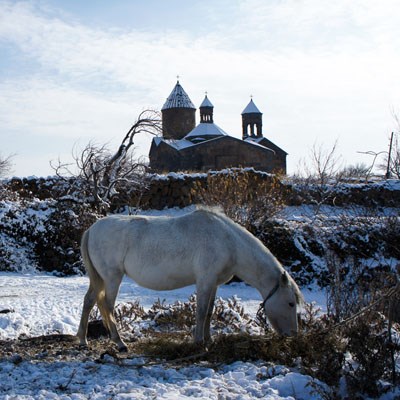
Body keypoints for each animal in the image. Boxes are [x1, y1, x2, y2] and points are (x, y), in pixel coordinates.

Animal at [77, 208, 304, 352]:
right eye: (290, 303)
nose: (293, 334)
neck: (228, 243)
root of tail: (91, 229)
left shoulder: (213, 283)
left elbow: (210, 311)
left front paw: (209, 340)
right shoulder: (204, 280)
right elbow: (201, 311)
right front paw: (198, 342)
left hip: (100, 278)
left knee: (90, 301)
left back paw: (83, 340)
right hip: (112, 277)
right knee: (107, 305)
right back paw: (120, 343)